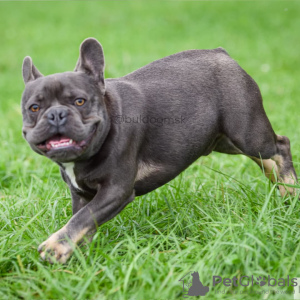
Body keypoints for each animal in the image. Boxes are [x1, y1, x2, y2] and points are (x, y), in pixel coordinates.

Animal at [21, 37, 298, 262]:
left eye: (80, 101)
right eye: (34, 108)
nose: (57, 114)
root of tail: (223, 54)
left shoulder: (116, 190)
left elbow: (82, 218)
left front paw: (55, 245)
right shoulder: (81, 194)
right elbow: (83, 221)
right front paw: (76, 253)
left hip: (247, 133)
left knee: (280, 146)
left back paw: (290, 189)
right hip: (225, 141)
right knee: (267, 160)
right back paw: (281, 188)